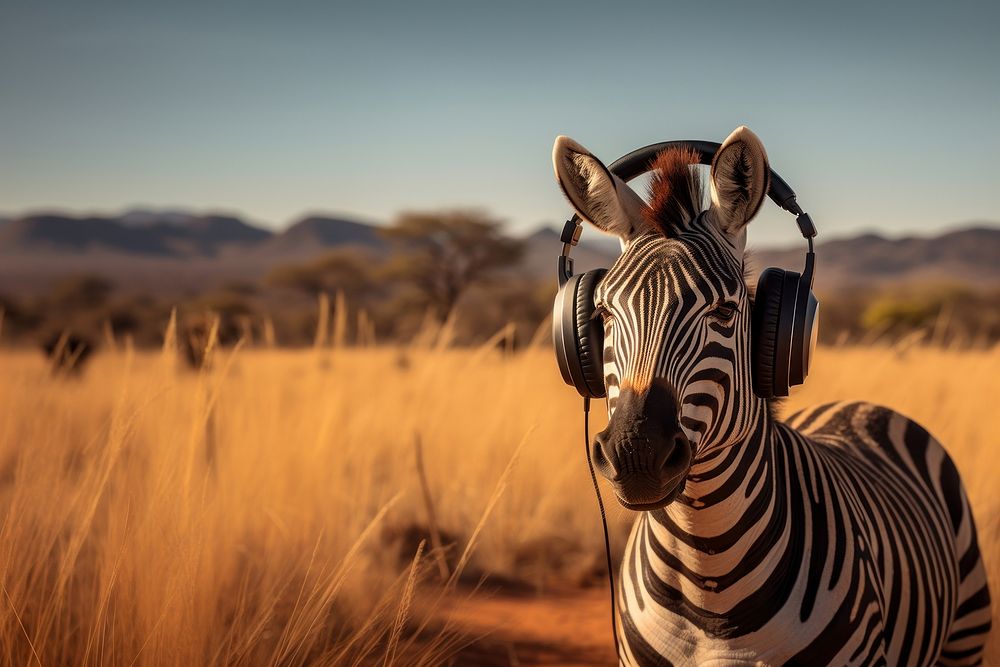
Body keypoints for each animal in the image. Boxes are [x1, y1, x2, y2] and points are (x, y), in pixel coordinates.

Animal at [556, 128, 992, 664]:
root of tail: (862, 407)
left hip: (966, 630)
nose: (635, 455)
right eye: (603, 313)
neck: (708, 581)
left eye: (724, 312)